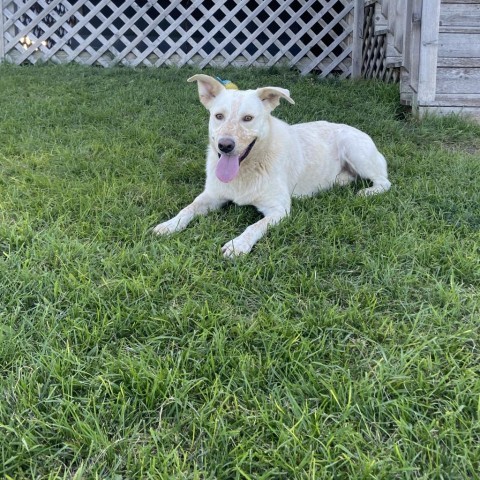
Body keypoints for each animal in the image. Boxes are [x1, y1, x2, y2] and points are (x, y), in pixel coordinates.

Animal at [154, 75, 390, 256]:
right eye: (218, 116)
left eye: (248, 118)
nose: (225, 146)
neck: (247, 169)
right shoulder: (211, 196)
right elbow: (188, 208)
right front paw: (169, 224)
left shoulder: (279, 209)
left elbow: (254, 226)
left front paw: (237, 245)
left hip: (354, 149)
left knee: (384, 182)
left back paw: (367, 192)